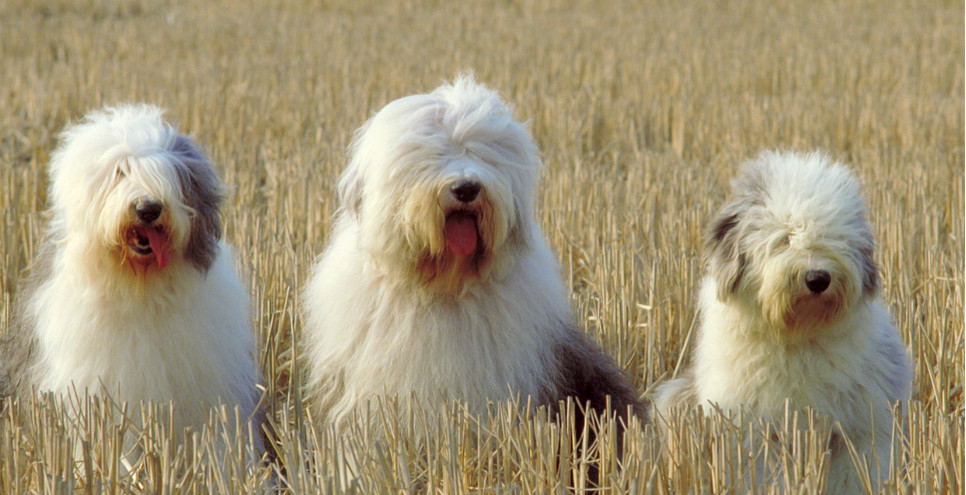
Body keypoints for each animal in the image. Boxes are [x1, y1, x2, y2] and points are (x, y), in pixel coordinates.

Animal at [656, 150, 916, 492]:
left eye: (836, 237)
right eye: (784, 238)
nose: (818, 278)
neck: (798, 334)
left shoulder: (859, 429)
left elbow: (855, 475)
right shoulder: (756, 430)